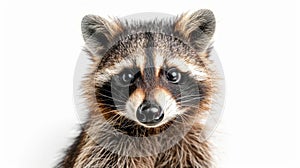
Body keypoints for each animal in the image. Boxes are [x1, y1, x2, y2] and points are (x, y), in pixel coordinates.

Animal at [58, 9, 218, 168]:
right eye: (128, 76)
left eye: (173, 75)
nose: (150, 111)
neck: (153, 131)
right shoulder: (102, 146)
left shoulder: (192, 145)